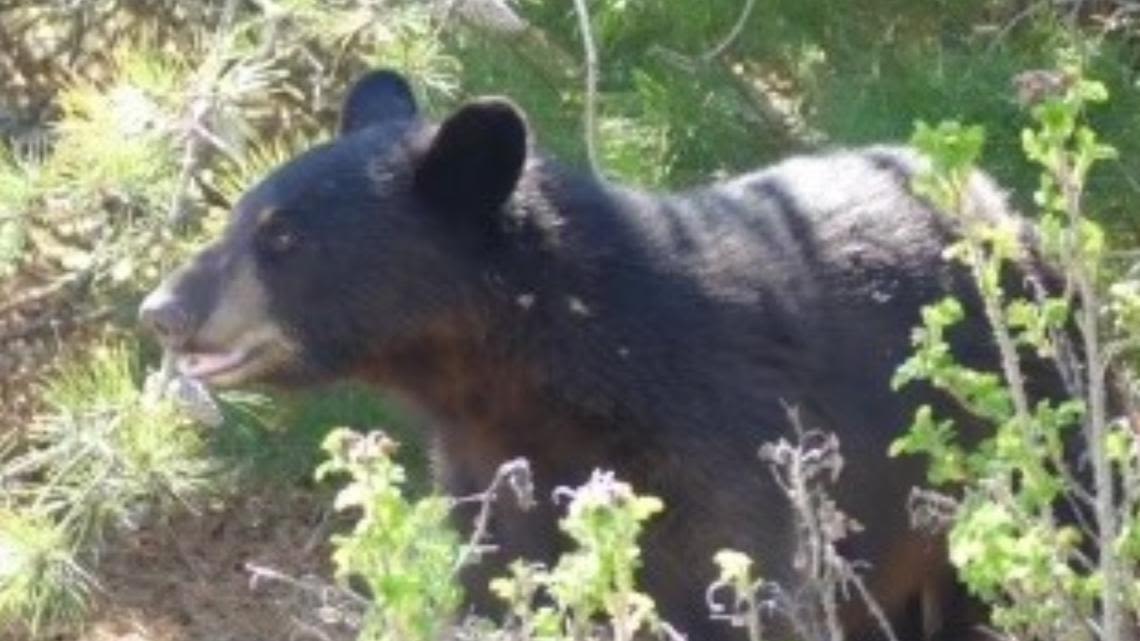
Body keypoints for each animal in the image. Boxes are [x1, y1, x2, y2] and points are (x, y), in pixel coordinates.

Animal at [135, 68, 1035, 638]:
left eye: (282, 236)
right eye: (239, 217)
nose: (162, 310)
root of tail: (987, 191)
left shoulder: (722, 449)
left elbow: (737, 584)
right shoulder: (491, 479)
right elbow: (501, 586)